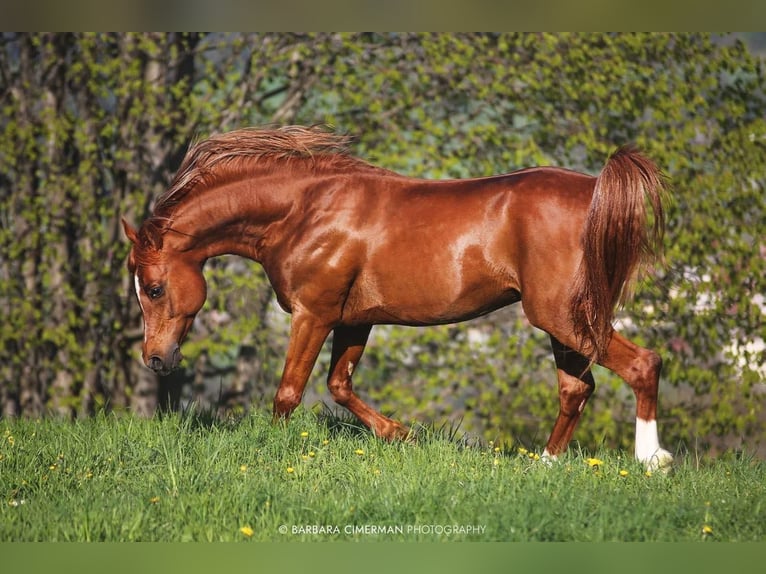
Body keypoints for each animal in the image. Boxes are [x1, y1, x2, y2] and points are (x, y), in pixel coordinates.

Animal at [123, 124, 676, 470]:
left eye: (153, 287)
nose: (156, 359)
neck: (305, 210)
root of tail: (595, 192)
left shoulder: (313, 314)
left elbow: (289, 392)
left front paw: (273, 455)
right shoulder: (355, 320)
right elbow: (339, 385)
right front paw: (402, 433)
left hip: (563, 316)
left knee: (642, 364)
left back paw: (653, 461)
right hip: (565, 323)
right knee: (576, 389)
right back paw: (546, 465)